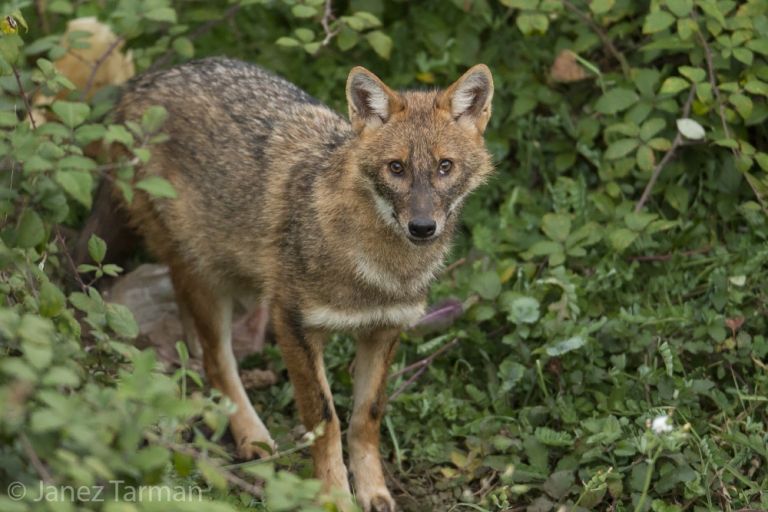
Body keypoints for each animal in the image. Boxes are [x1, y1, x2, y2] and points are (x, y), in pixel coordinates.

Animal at [111, 57, 494, 511]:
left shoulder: (385, 330)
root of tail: (146, 78)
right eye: (396, 168)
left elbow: (366, 416)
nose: (422, 227)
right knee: (217, 362)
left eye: (444, 166)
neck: (380, 270)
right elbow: (324, 418)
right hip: (209, 280)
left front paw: (373, 491)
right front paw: (335, 497)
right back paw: (253, 437)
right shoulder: (292, 324)